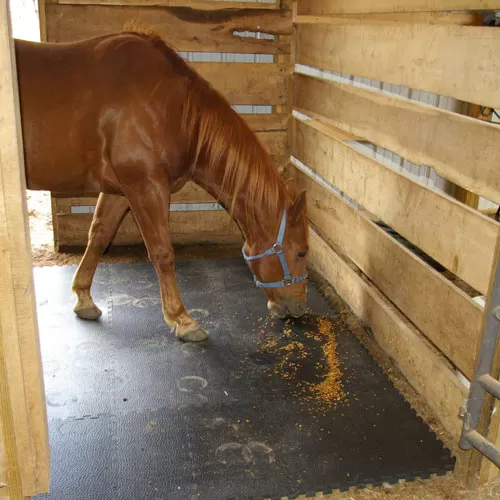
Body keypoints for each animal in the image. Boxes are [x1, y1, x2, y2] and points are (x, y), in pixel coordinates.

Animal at [14, 31, 308, 342]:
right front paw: (182, 319)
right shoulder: (145, 186)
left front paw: (84, 299)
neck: (172, 108)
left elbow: (99, 235)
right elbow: (162, 252)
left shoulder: (120, 190)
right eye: (302, 251)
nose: (299, 308)